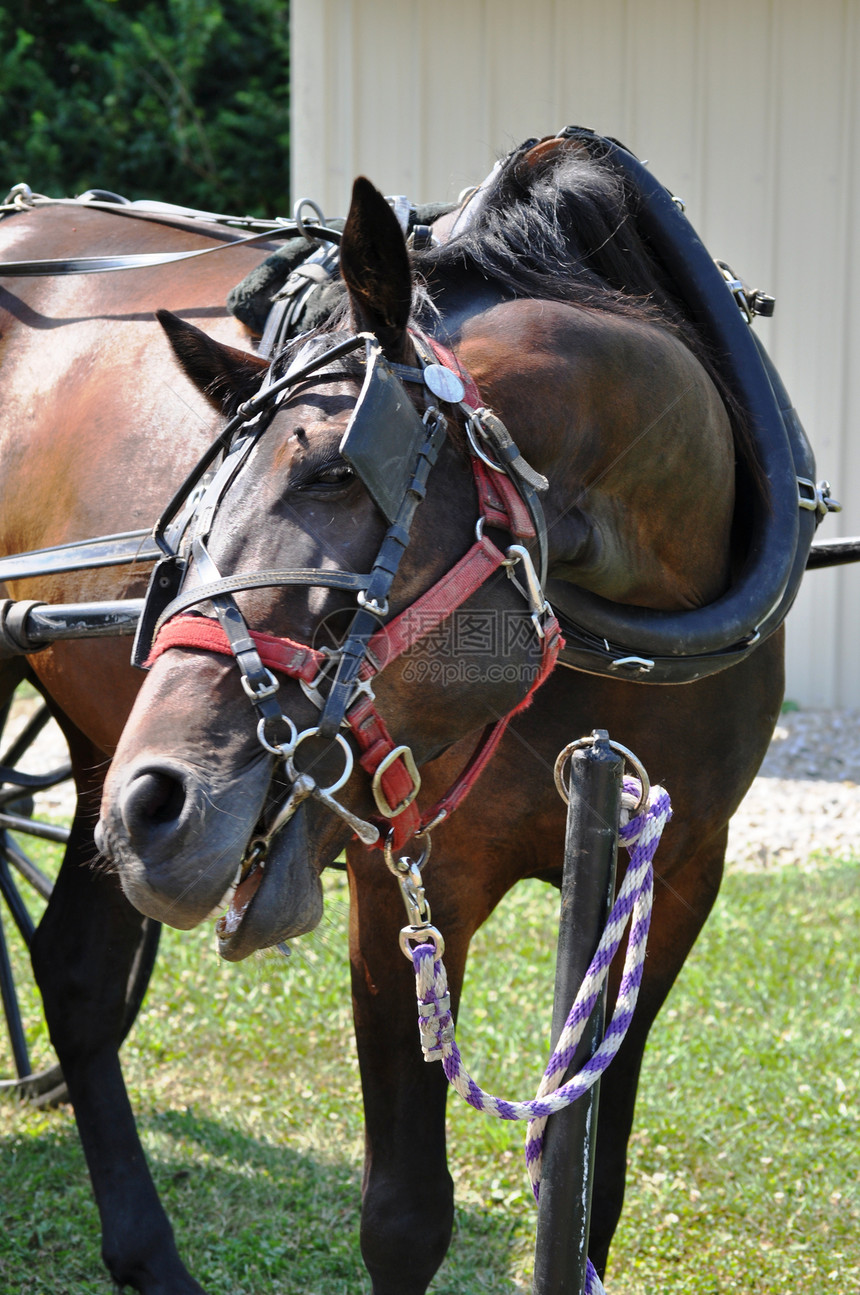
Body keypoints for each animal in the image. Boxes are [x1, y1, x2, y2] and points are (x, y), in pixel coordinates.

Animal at [88, 134, 792, 1295]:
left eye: (334, 472)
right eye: (183, 528)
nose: (147, 807)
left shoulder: (683, 865)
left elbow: (585, 1182)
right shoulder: (404, 886)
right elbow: (406, 1215)